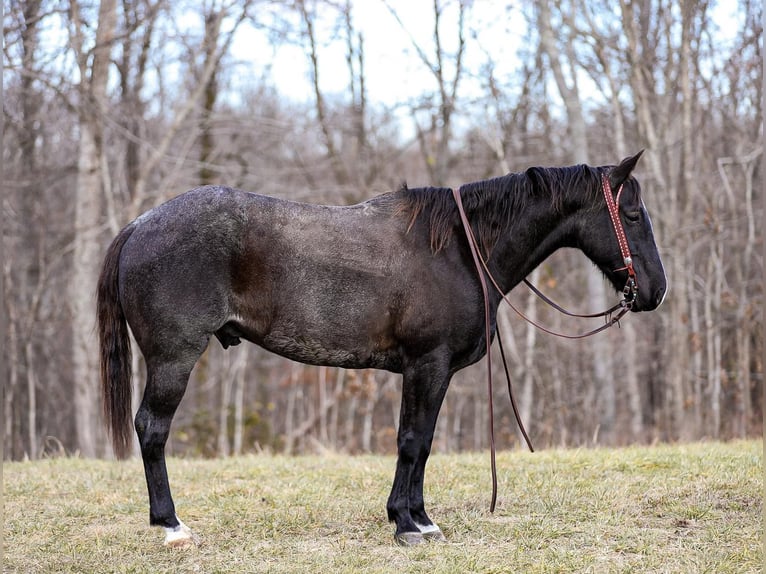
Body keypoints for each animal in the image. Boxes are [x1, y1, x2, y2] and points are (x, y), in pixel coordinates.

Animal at [99, 152, 668, 548]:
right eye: (632, 214)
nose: (656, 291)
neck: (459, 249)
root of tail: (140, 225)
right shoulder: (426, 366)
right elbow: (412, 442)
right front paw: (406, 524)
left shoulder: (432, 372)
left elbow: (424, 443)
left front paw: (421, 518)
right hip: (174, 360)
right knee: (152, 429)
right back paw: (172, 525)